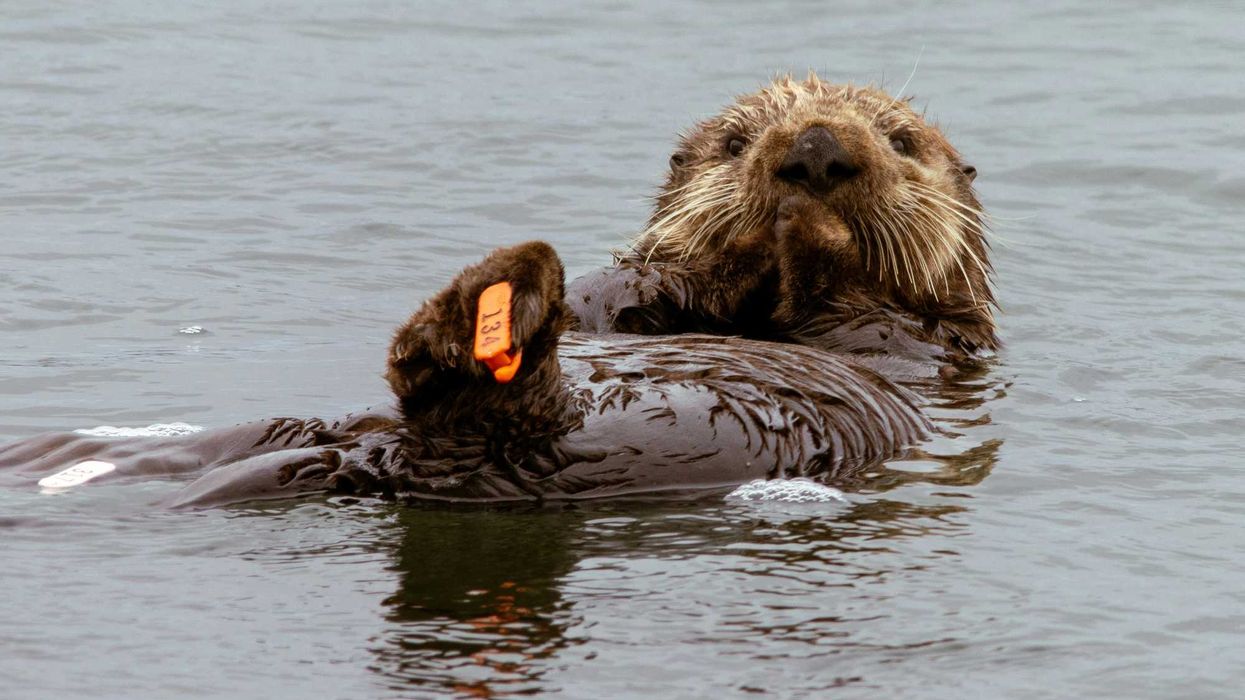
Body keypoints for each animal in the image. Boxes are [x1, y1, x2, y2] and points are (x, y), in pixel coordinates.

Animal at [0, 75, 995, 507]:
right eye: (734, 141)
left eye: (901, 141)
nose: (816, 151)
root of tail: (379, 456)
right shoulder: (626, 295)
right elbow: (621, 288)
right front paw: (756, 241)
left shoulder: (929, 342)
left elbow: (863, 315)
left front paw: (808, 235)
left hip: (537, 444)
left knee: (474, 409)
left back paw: (485, 314)